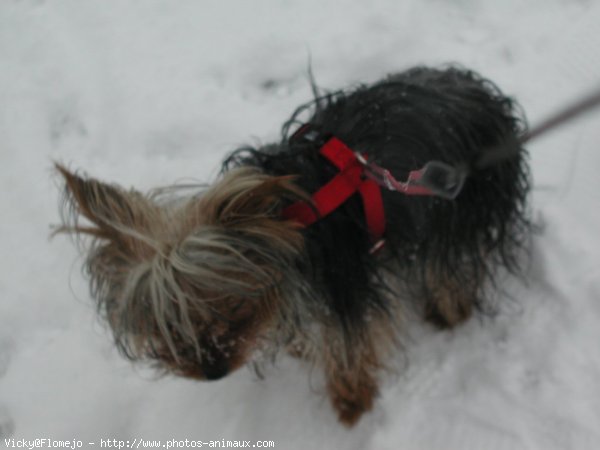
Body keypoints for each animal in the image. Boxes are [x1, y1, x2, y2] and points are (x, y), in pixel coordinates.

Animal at [56, 66, 528, 426]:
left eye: (233, 310)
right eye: (168, 327)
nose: (212, 372)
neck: (289, 220)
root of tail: (479, 93)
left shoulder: (342, 290)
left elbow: (350, 347)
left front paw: (351, 403)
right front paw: (300, 347)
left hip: (463, 209)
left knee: (453, 267)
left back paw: (448, 312)